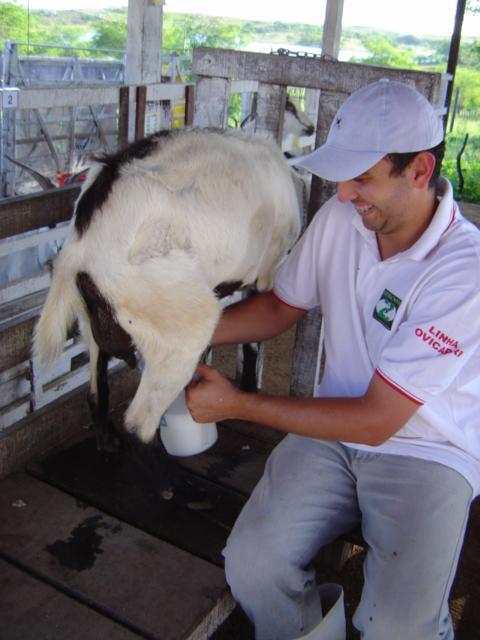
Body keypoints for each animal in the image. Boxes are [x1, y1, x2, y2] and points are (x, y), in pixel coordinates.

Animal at [33, 127, 300, 452]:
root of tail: (80, 248)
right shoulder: (265, 274)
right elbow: (252, 344)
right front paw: (248, 389)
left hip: (91, 320)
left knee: (96, 391)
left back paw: (109, 441)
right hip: (176, 318)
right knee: (138, 422)